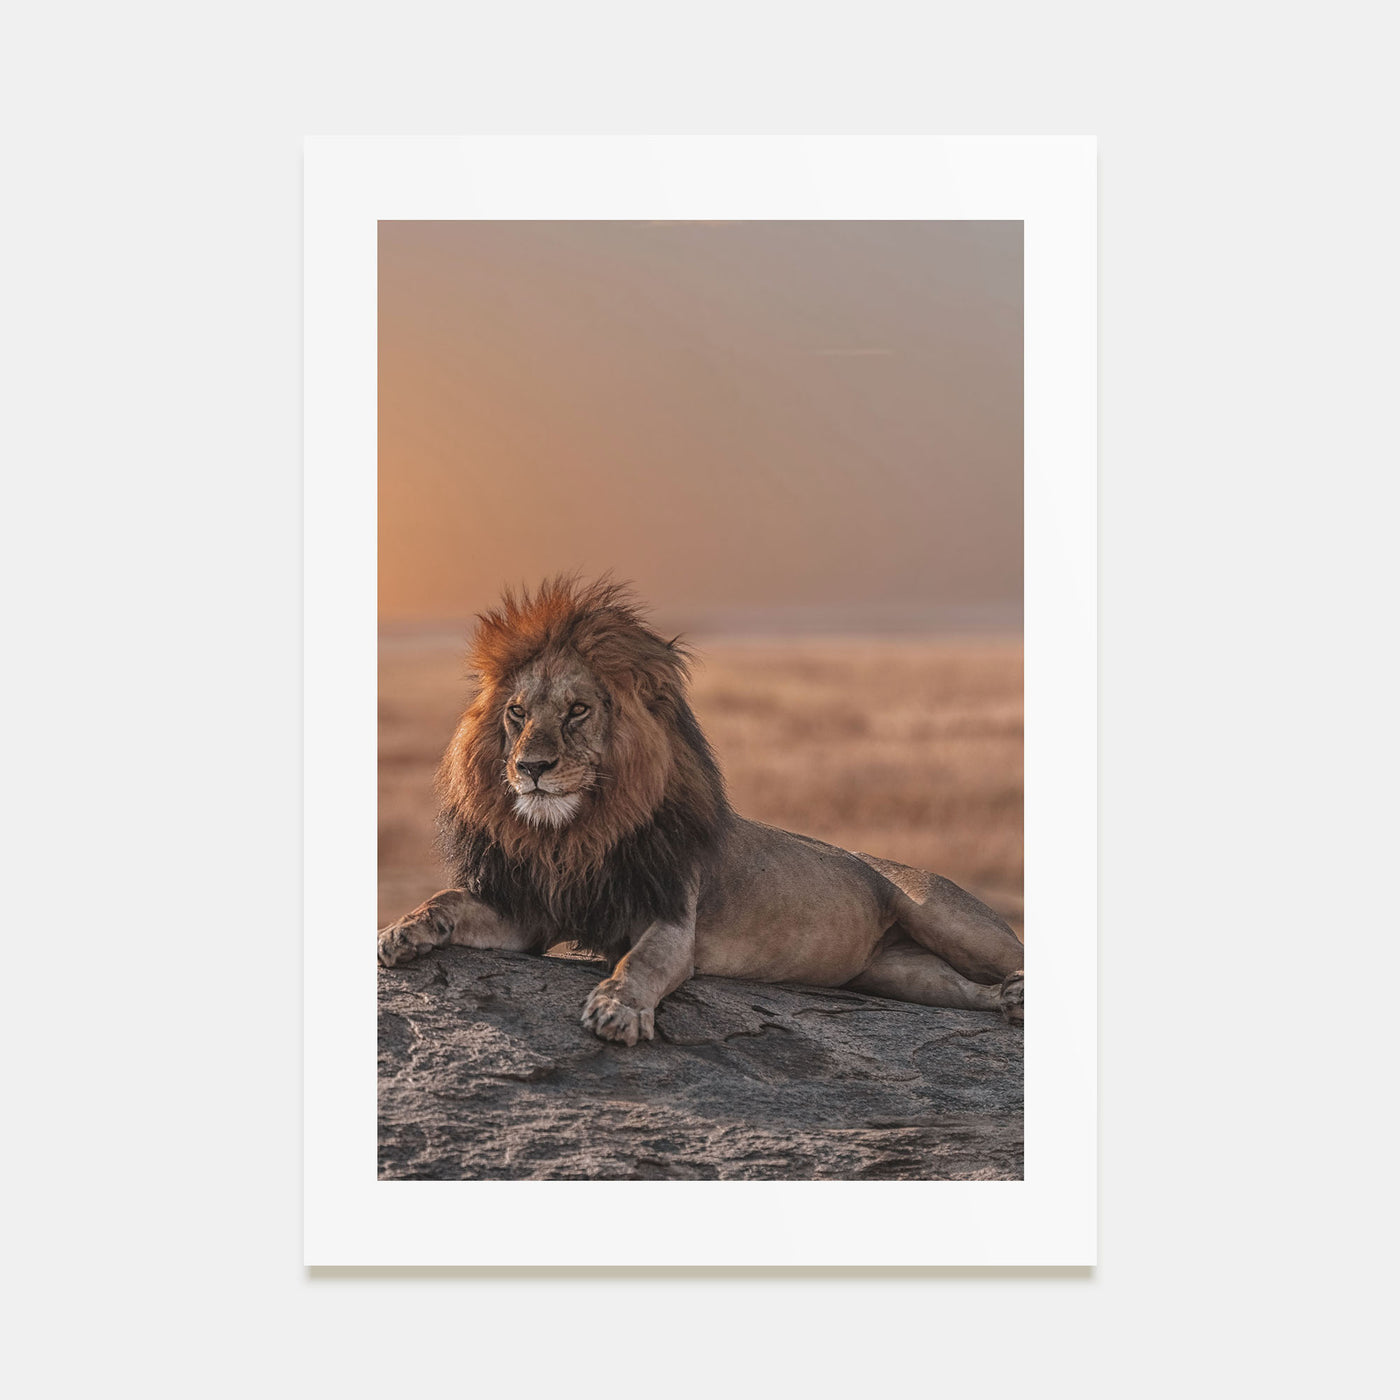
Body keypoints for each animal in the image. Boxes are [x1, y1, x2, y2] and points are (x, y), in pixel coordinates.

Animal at [377, 577, 1025, 1044]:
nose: (531, 767)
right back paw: (1008, 1001)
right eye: (516, 712)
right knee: (963, 991)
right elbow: (448, 901)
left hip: (946, 917)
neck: (575, 834)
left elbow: (638, 964)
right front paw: (402, 931)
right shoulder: (531, 912)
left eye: (578, 710)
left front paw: (618, 1010)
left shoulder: (669, 919)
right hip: (897, 972)